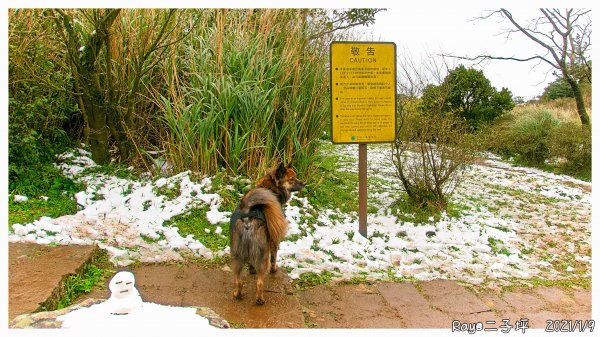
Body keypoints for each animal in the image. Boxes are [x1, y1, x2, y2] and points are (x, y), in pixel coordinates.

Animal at [229, 163, 308, 304]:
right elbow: (274, 257)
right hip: (263, 255)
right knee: (259, 282)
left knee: (238, 280)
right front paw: (274, 270)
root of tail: (247, 220)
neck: (270, 187)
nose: (304, 183)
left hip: (237, 255)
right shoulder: (273, 240)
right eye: (292, 179)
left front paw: (251, 270)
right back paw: (260, 300)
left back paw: (237, 294)